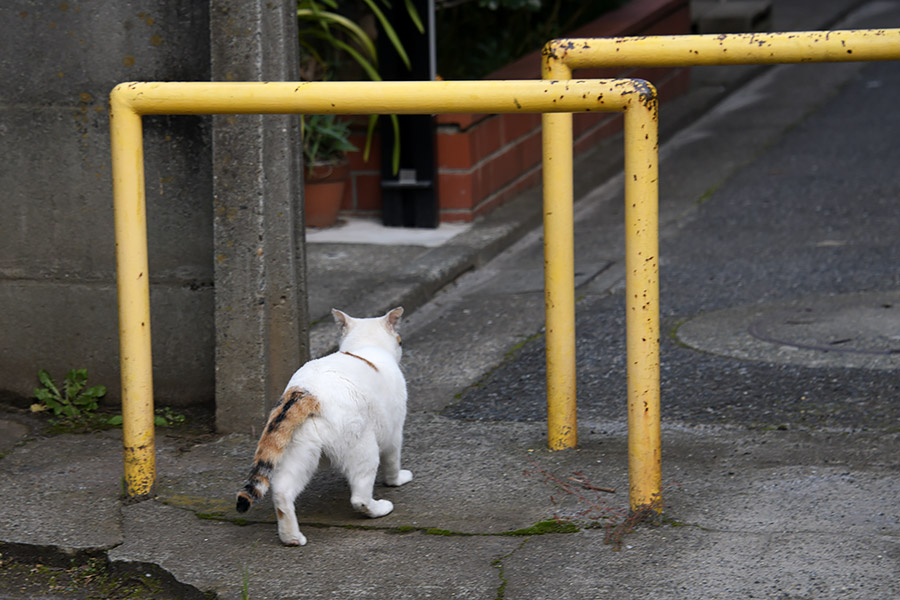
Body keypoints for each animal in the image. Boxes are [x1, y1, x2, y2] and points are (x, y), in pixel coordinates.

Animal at [234, 308, 414, 548]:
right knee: (359, 497)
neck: (363, 347)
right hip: (364, 447)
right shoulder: (394, 431)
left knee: (282, 493)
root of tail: (307, 392)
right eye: (400, 341)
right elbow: (393, 462)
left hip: (300, 452)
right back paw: (378, 509)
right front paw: (397, 480)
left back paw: (292, 538)